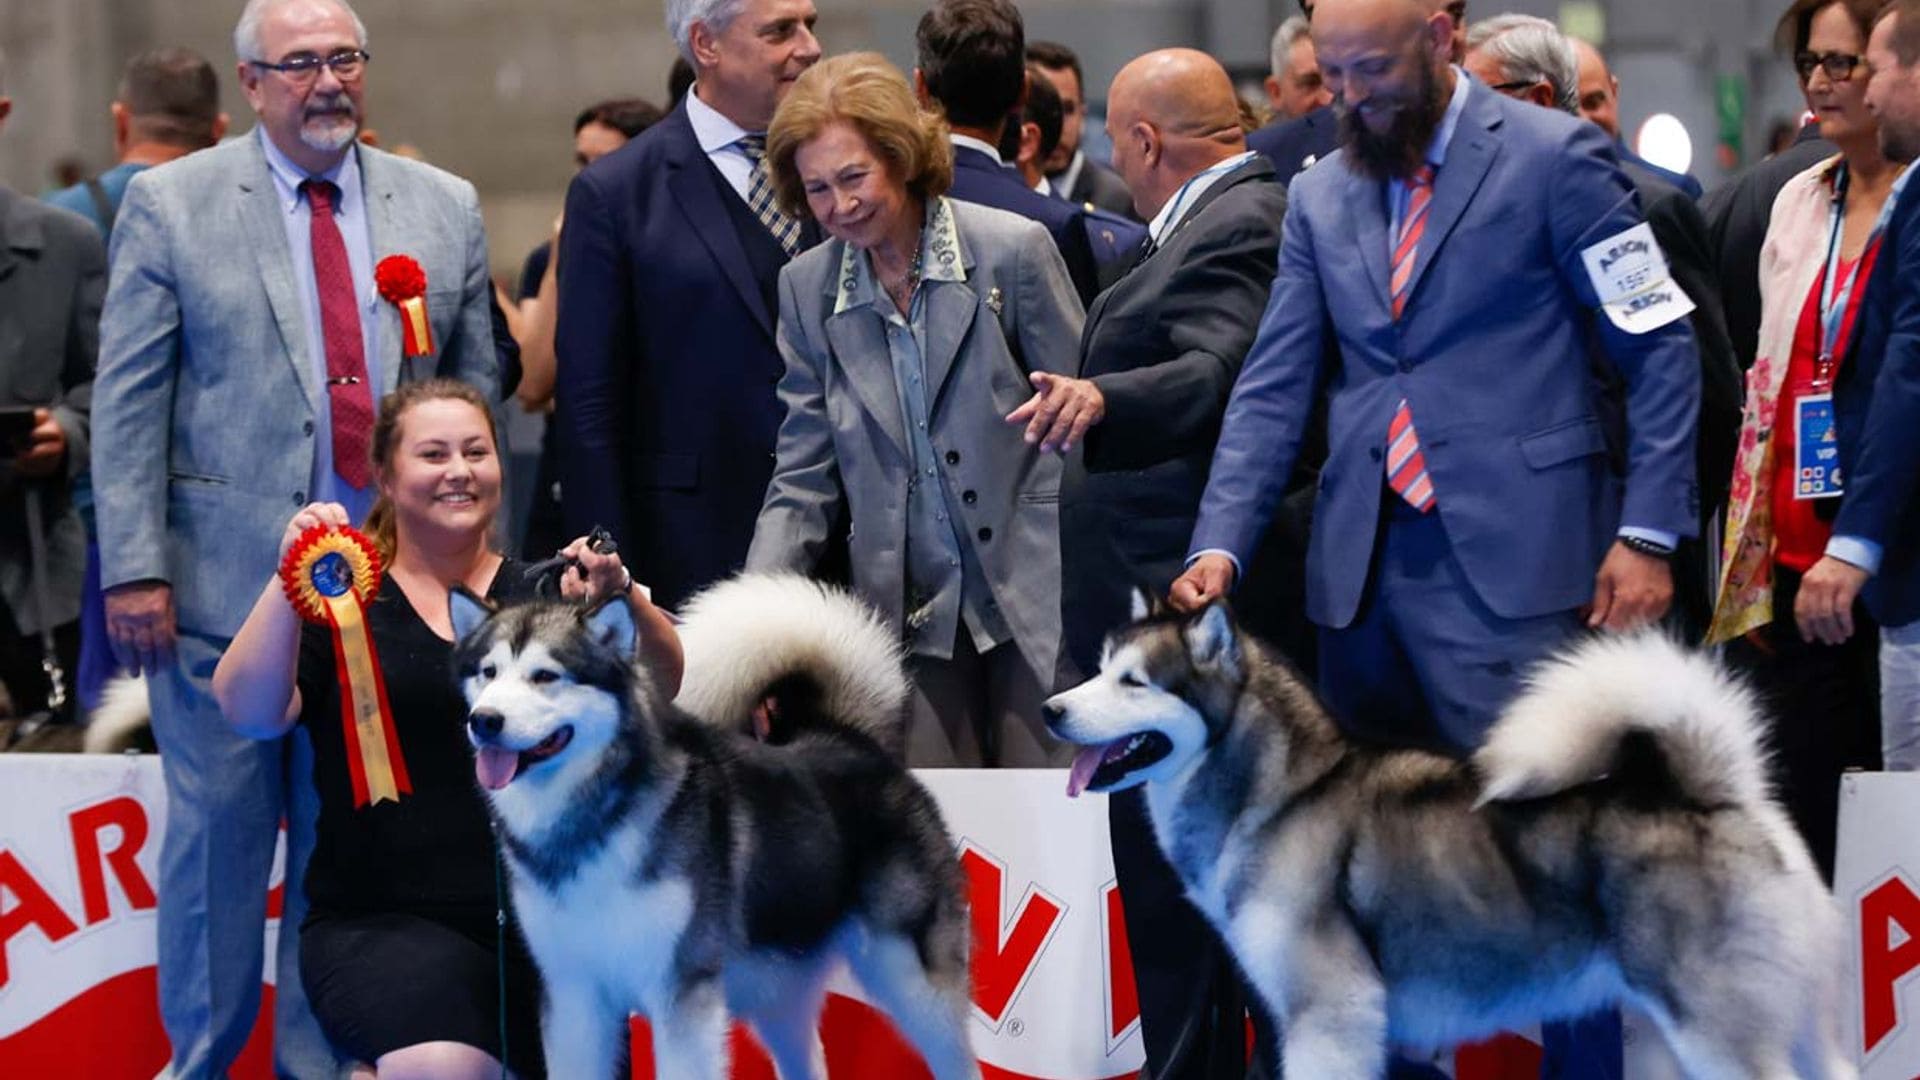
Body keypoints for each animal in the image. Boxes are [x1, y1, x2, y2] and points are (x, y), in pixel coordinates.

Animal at [453, 572, 975, 1076]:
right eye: (488, 673)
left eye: (545, 676)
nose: (485, 720)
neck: (595, 816)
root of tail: (847, 738)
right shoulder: (573, 996)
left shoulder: (682, 995)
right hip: (780, 985)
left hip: (914, 981)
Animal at [1044, 595, 1850, 1076]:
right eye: (1099, 671)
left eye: (1135, 682)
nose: (1052, 709)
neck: (1283, 794)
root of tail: (1719, 793)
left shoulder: (1330, 1013)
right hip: (1785, 1019)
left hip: (1716, 1027)